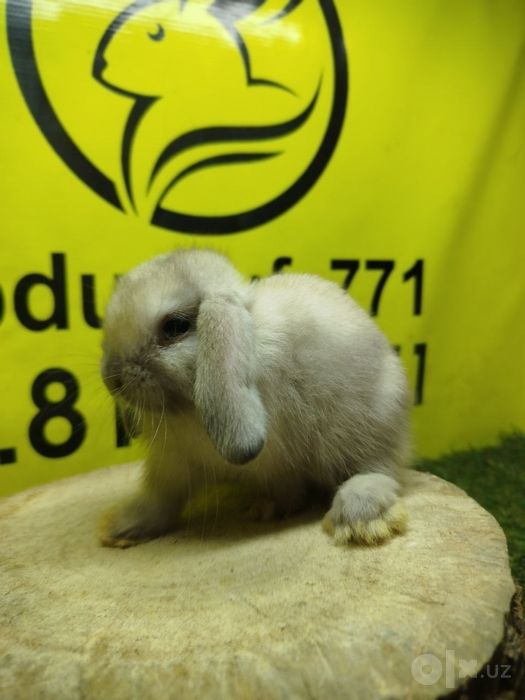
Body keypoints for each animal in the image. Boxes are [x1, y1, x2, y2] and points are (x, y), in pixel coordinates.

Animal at [100, 248, 411, 548]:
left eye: (175, 326)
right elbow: (159, 501)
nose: (112, 380)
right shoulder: (174, 464)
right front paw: (121, 529)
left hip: (369, 424)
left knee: (380, 469)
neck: (186, 406)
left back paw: (359, 520)